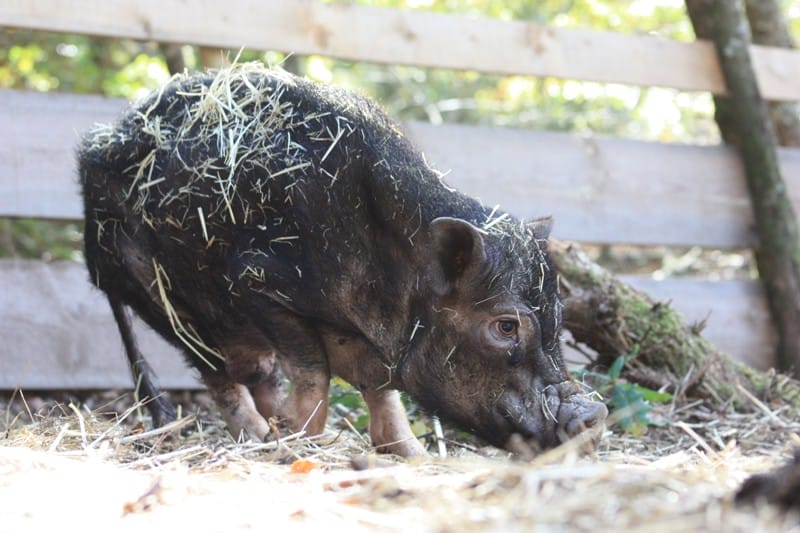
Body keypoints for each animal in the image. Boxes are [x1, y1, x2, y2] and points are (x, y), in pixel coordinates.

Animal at [79, 63, 607, 456]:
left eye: (558, 318)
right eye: (505, 326)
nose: (595, 414)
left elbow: (381, 394)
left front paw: (411, 454)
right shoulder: (254, 280)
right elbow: (314, 372)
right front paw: (300, 438)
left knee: (254, 374)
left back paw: (277, 431)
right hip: (158, 296)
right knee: (219, 374)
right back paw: (264, 437)